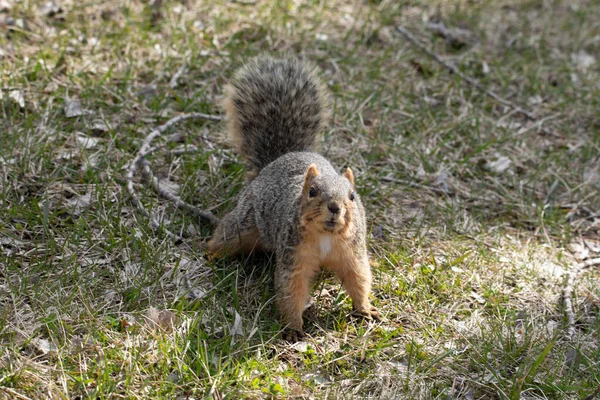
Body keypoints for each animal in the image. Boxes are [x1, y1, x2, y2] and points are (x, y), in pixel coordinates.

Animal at [206, 55, 376, 338]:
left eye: (352, 196)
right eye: (312, 191)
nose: (335, 207)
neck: (326, 237)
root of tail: (276, 161)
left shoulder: (352, 252)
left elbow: (358, 278)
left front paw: (365, 309)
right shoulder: (293, 256)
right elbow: (291, 289)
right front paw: (294, 327)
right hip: (245, 222)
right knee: (226, 236)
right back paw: (211, 254)